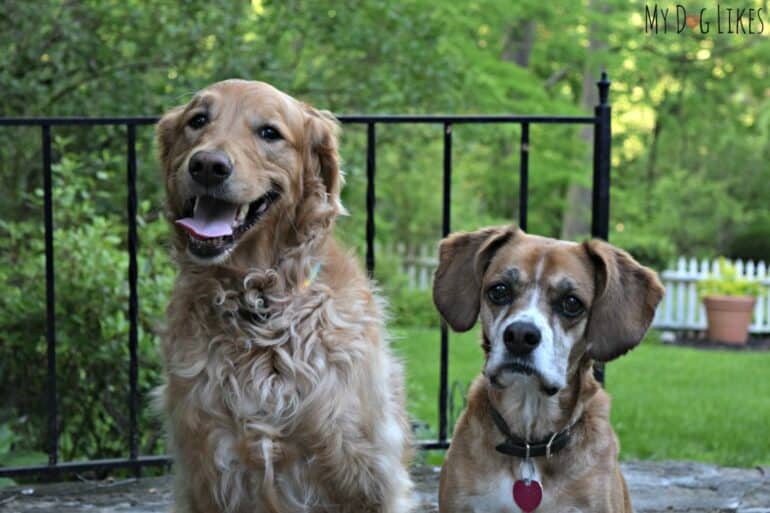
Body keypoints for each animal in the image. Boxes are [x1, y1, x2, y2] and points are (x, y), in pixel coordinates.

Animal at [155, 78, 414, 510]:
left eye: (269, 133)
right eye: (198, 120)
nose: (207, 165)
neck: (259, 305)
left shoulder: (368, 475)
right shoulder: (207, 472)